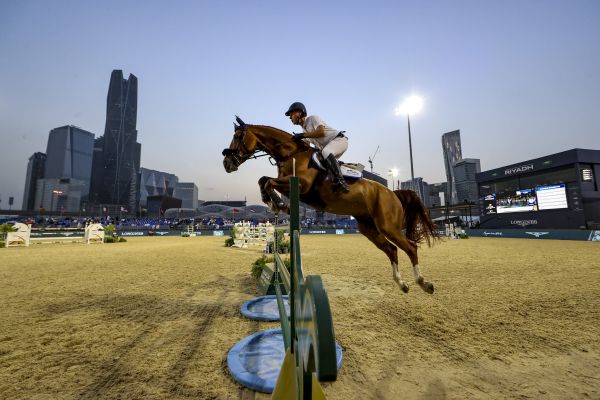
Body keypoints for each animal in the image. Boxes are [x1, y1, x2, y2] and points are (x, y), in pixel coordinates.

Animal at [223, 117, 438, 292]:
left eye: (238, 136)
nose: (227, 163)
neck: (291, 153)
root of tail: (392, 193)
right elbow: (263, 180)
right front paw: (274, 203)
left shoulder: (301, 185)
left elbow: (268, 182)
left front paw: (278, 204)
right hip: (369, 228)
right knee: (392, 250)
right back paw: (402, 284)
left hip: (388, 226)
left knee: (410, 247)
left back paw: (424, 283)